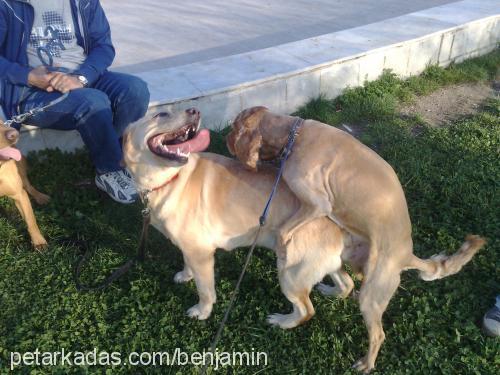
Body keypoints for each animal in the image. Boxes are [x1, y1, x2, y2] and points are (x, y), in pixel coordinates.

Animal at [122, 108, 484, 374]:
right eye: (162, 113)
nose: (194, 109)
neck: (168, 179)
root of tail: (404, 251)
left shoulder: (202, 253)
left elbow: (206, 289)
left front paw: (201, 310)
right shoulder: (188, 246)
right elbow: (185, 264)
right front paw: (183, 275)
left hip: (293, 274)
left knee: (312, 312)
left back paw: (289, 325)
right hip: (327, 265)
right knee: (345, 285)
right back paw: (331, 291)